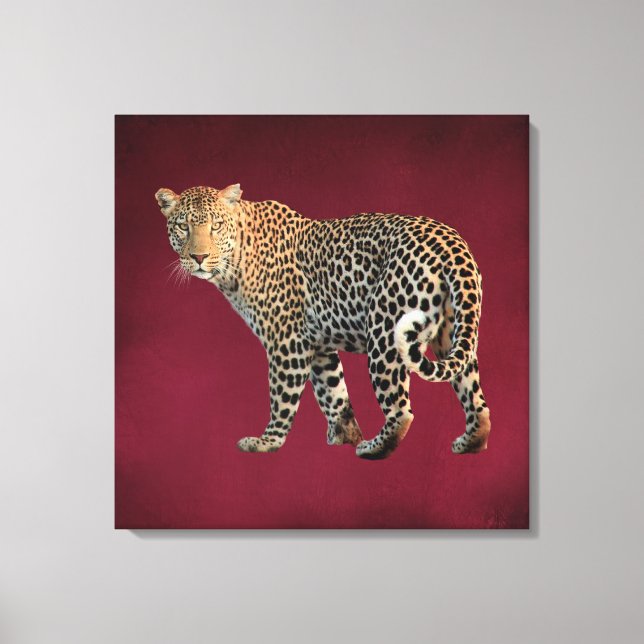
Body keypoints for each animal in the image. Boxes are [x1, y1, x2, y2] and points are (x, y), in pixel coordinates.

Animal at [155, 184, 491, 460]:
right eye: (183, 226)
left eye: (216, 226)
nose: (199, 257)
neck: (236, 259)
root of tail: (451, 243)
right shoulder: (318, 345)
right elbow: (334, 393)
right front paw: (345, 436)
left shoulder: (287, 342)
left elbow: (282, 396)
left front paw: (267, 442)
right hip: (453, 332)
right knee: (475, 397)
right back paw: (470, 442)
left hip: (384, 332)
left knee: (401, 410)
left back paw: (373, 448)